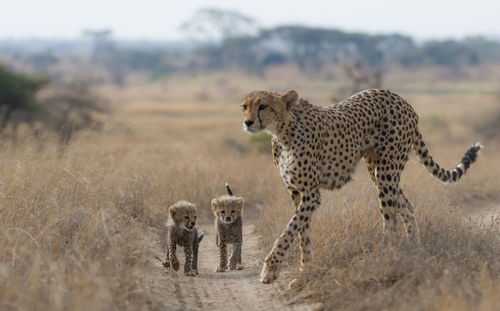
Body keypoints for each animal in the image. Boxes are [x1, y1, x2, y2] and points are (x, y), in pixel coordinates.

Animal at [240, 89, 482, 284]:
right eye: (245, 107)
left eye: (263, 106)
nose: (247, 122)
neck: (282, 132)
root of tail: (400, 99)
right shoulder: (297, 193)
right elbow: (301, 235)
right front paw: (305, 272)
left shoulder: (311, 194)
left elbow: (288, 231)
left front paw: (270, 269)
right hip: (376, 169)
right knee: (407, 206)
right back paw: (414, 250)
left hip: (386, 171)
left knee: (391, 220)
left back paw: (386, 259)